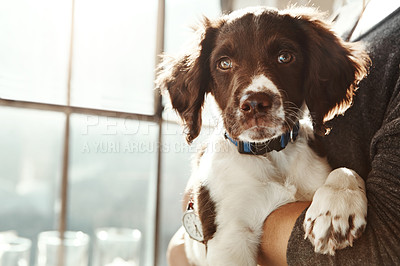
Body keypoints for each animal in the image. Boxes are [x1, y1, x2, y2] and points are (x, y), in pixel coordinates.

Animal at [155, 6, 368, 266]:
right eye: (224, 63)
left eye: (285, 57)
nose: (255, 104)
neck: (269, 151)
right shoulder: (229, 237)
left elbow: (344, 170)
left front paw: (335, 211)